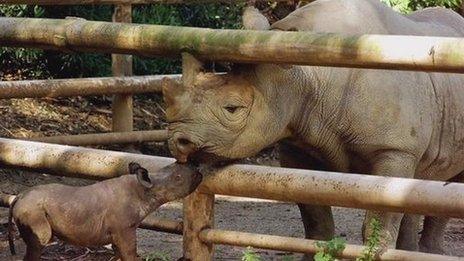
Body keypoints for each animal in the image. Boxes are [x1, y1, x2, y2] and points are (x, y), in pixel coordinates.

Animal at [8, 161, 201, 258]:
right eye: (178, 178)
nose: (198, 171)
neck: (144, 190)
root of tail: (18, 197)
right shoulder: (124, 228)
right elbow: (130, 253)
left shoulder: (120, 232)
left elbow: (120, 254)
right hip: (31, 210)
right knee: (40, 241)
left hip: (29, 207)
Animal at [162, 0, 464, 256]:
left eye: (232, 109)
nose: (178, 141)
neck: (306, 76)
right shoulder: (298, 140)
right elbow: (314, 217)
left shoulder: (395, 149)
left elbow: (380, 220)